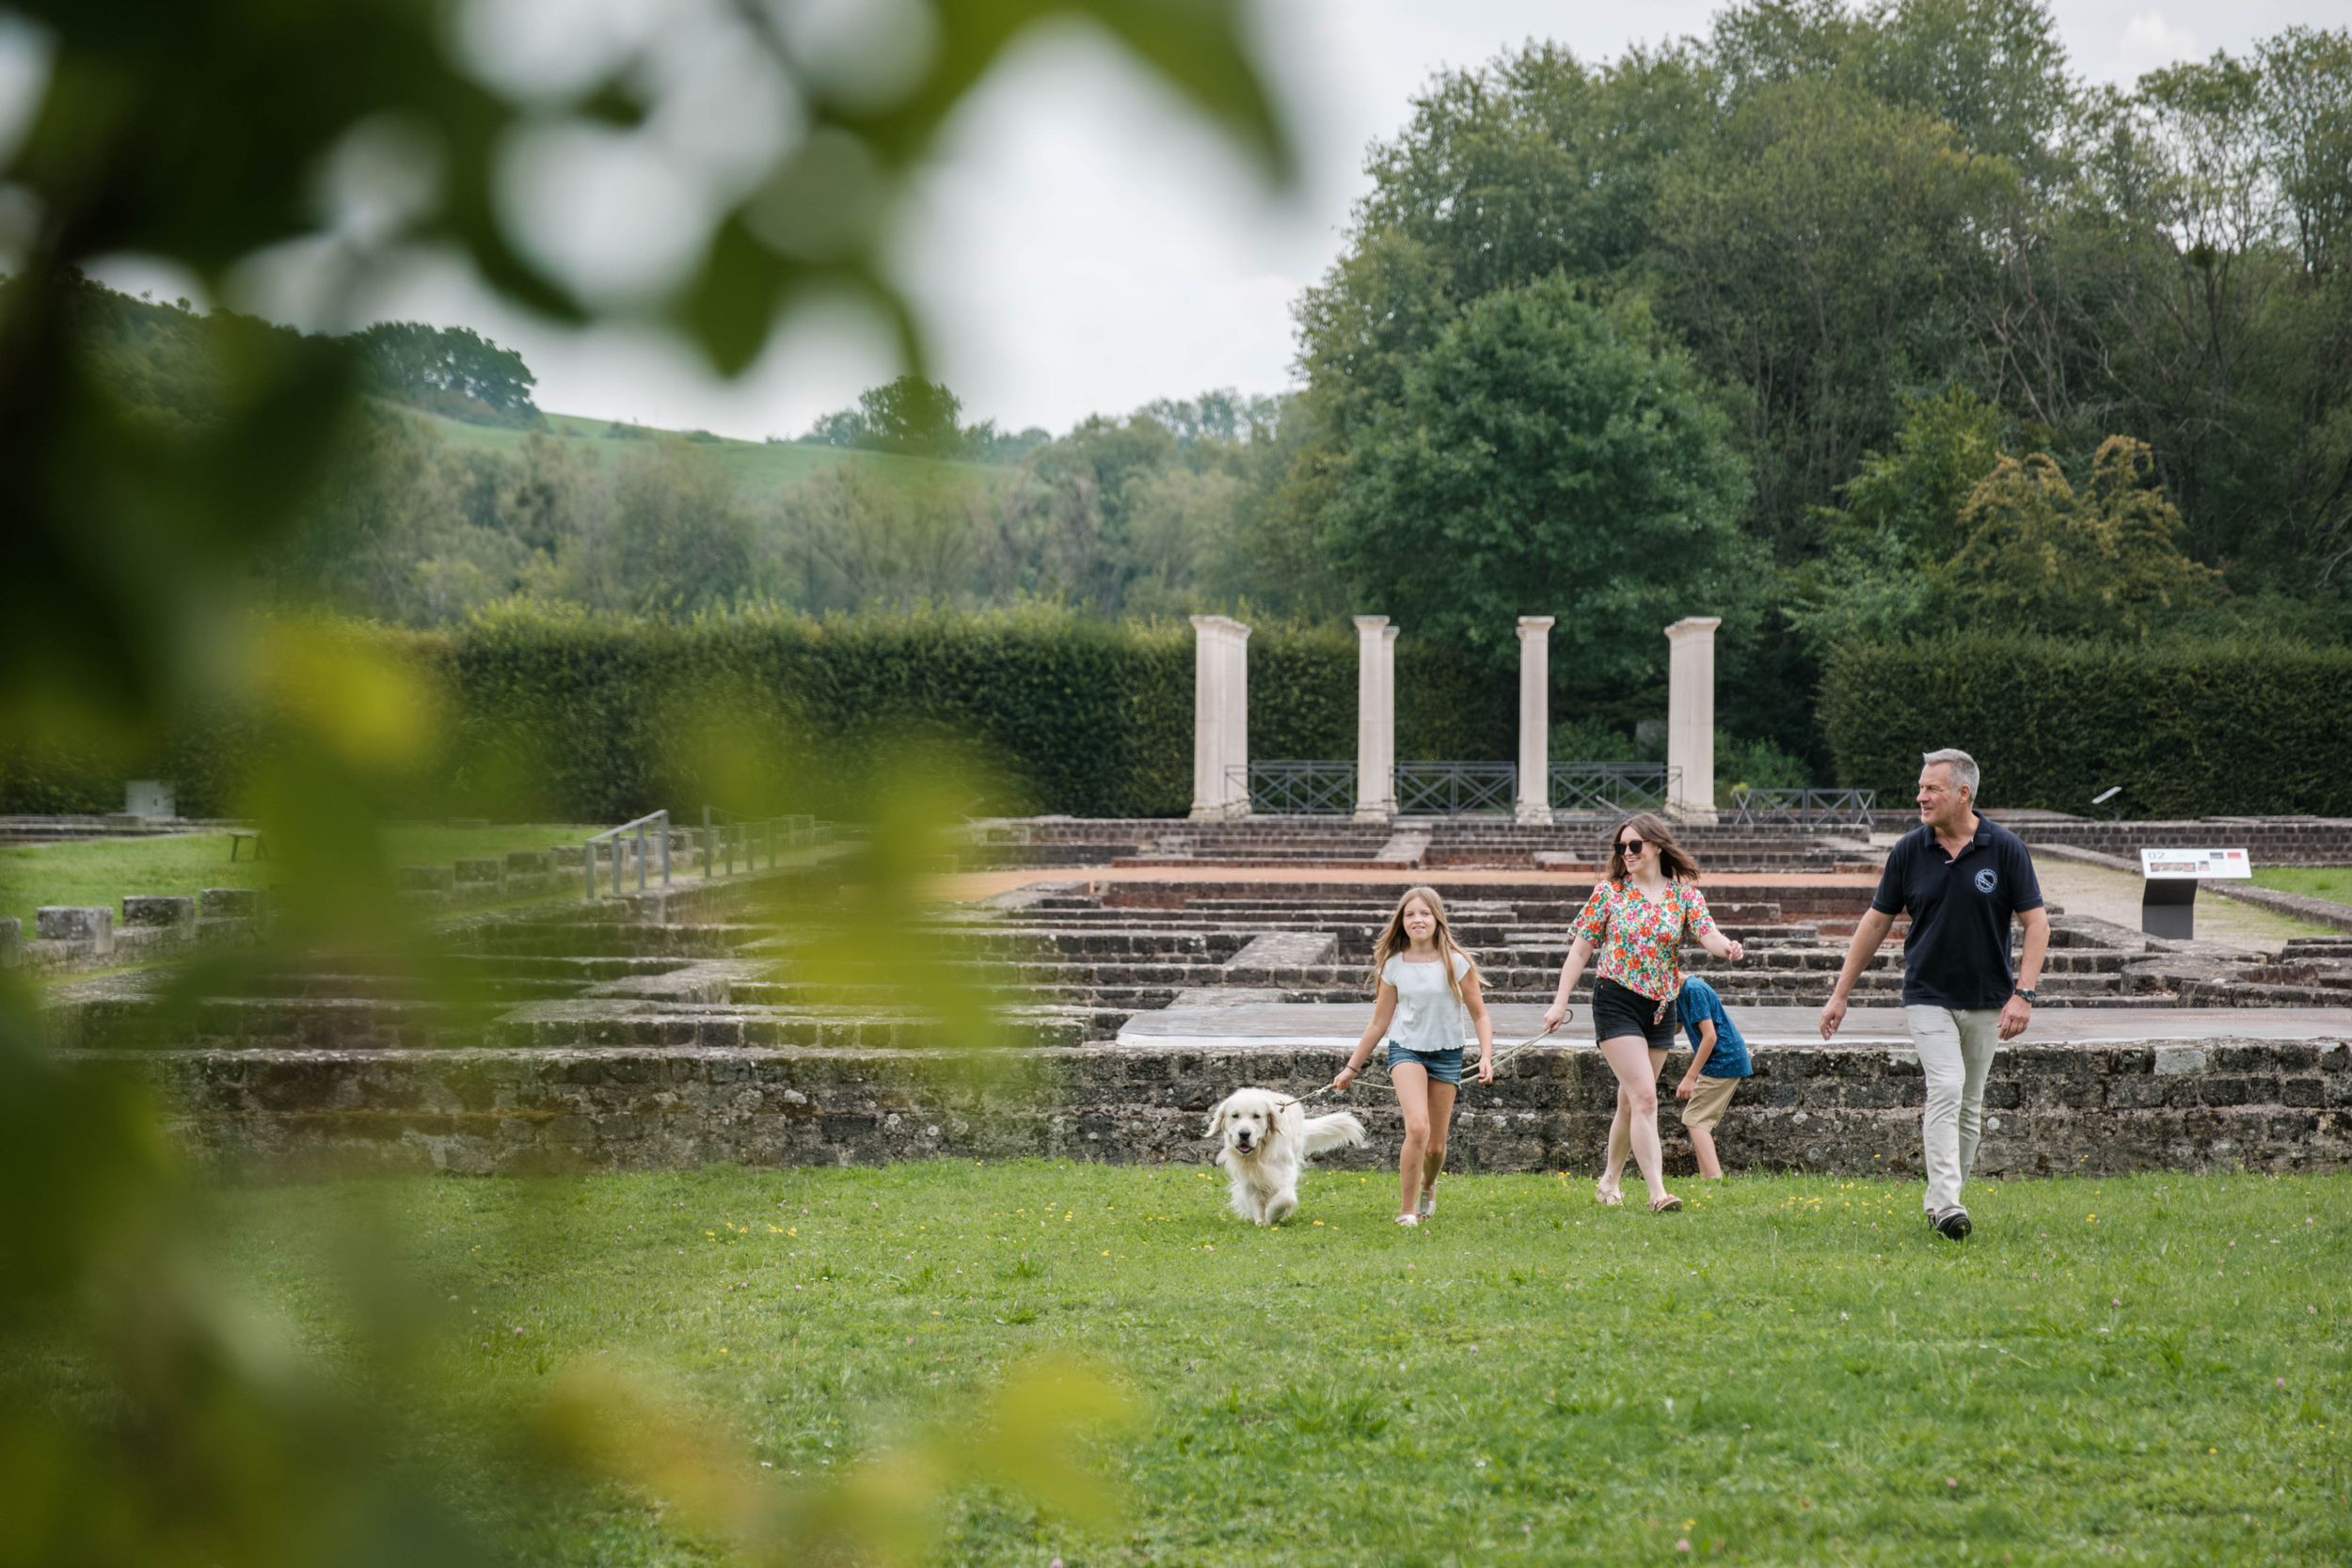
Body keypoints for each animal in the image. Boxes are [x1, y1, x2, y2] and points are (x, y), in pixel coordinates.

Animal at [1204, 1090, 1374, 1222]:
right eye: (1235, 1116)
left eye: (1256, 1116)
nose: (1244, 1134)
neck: (1261, 1151)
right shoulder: (1249, 1176)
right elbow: (1254, 1199)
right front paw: (1260, 1220)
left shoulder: (1285, 1170)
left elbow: (1285, 1197)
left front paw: (1272, 1214)